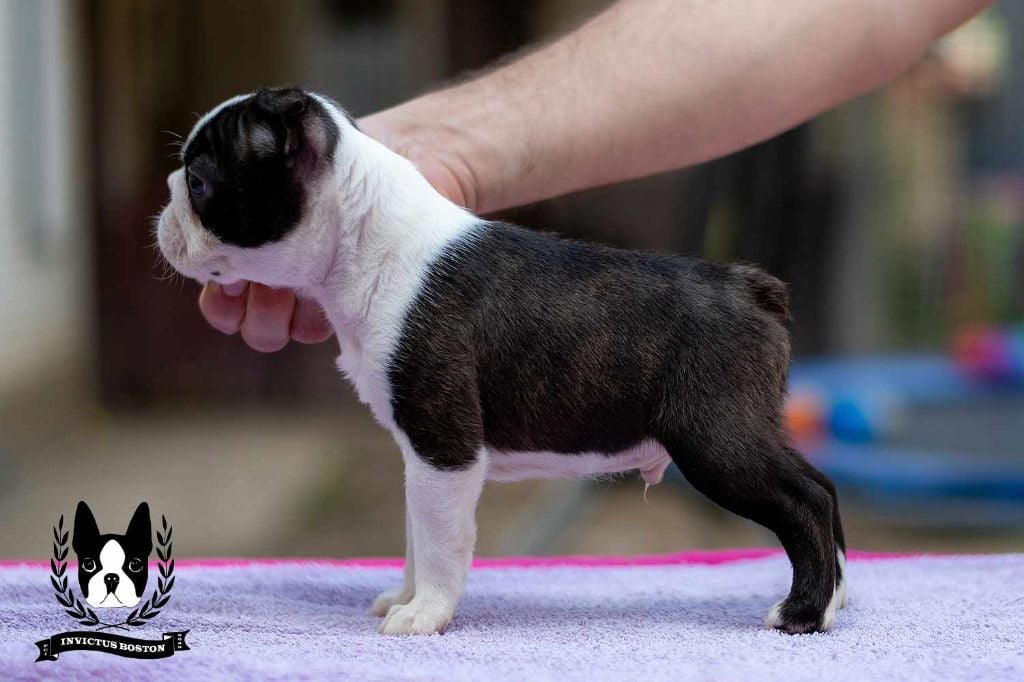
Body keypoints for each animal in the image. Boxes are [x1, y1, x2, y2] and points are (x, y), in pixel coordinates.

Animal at [157, 87, 847, 636]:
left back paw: (803, 613)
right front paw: (404, 598)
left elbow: (438, 543)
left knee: (806, 500)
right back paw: (836, 600)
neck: (363, 239)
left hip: (715, 439)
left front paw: (424, 615)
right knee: (823, 488)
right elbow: (414, 537)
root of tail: (748, 286)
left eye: (199, 184)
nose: (162, 212)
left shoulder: (445, 449)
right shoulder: (420, 458)